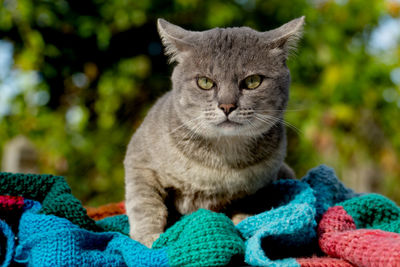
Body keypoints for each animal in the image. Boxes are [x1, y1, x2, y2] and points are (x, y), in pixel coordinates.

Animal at [123, 16, 304, 248]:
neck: (221, 162)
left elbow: (248, 207)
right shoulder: (139, 161)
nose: (227, 106)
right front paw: (148, 239)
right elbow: (145, 204)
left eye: (252, 81)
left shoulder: (260, 186)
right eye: (205, 82)